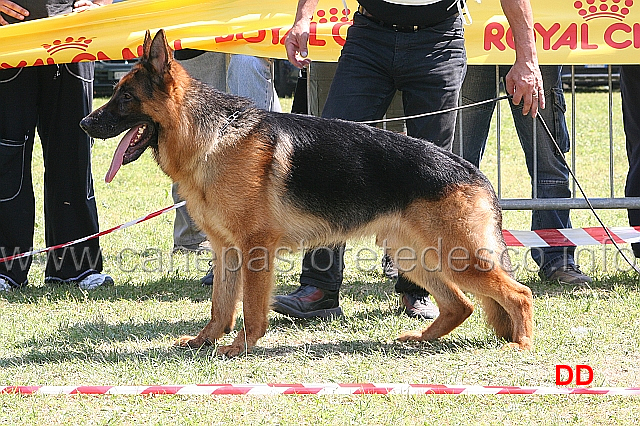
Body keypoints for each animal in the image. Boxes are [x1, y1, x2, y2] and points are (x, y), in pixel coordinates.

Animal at [80, 29, 532, 356]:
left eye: (125, 97)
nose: (85, 124)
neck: (211, 135)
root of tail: (473, 171)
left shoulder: (255, 249)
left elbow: (250, 309)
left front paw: (240, 346)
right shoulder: (226, 249)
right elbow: (220, 304)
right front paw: (206, 341)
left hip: (455, 257)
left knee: (518, 293)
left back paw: (522, 343)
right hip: (414, 257)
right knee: (463, 304)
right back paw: (422, 339)